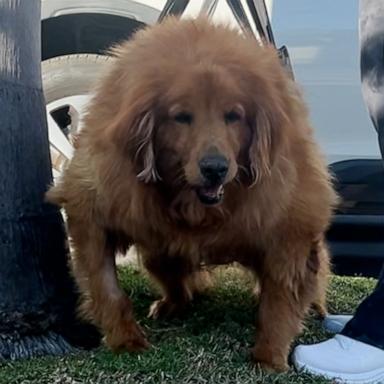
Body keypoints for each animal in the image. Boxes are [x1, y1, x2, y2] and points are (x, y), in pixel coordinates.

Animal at [46, 16, 338, 370]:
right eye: (181, 117)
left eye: (234, 115)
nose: (215, 168)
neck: (196, 206)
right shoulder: (93, 207)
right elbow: (108, 289)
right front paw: (125, 339)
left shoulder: (290, 228)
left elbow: (280, 300)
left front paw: (269, 356)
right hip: (159, 249)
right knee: (178, 282)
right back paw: (172, 304)